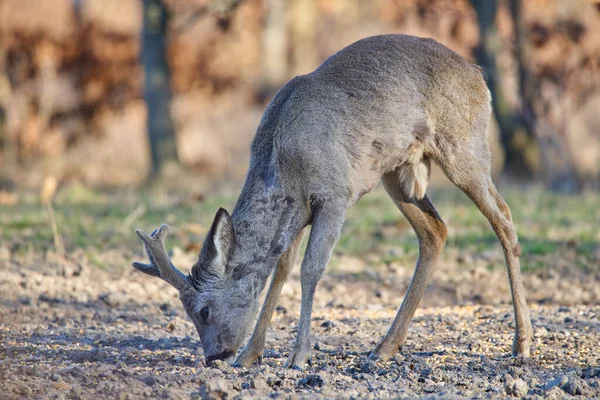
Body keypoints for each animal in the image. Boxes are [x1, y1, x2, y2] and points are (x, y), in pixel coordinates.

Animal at [132, 34, 536, 368]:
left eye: (203, 311)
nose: (215, 356)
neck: (284, 158)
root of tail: (479, 76)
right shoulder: (297, 211)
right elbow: (281, 270)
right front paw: (250, 355)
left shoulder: (334, 194)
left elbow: (311, 269)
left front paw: (298, 356)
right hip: (395, 172)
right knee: (435, 230)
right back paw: (384, 347)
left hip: (464, 146)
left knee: (503, 218)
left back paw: (522, 344)